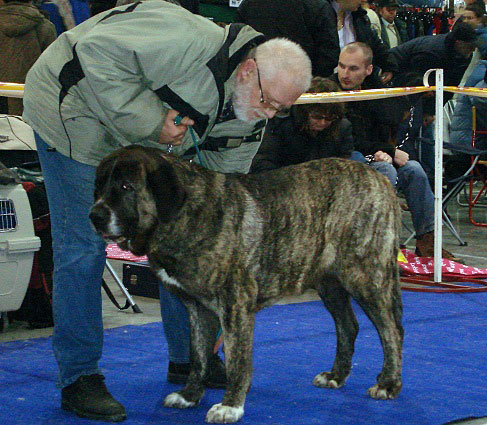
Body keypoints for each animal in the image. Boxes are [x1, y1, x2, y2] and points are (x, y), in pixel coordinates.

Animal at [90, 145, 404, 420]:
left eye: (126, 187)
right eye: (101, 185)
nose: (95, 215)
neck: (185, 215)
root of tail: (378, 177)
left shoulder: (235, 306)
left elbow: (237, 360)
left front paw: (230, 406)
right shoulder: (197, 308)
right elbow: (198, 355)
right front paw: (190, 395)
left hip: (366, 275)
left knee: (392, 330)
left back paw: (388, 383)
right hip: (329, 282)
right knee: (348, 326)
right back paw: (336, 375)